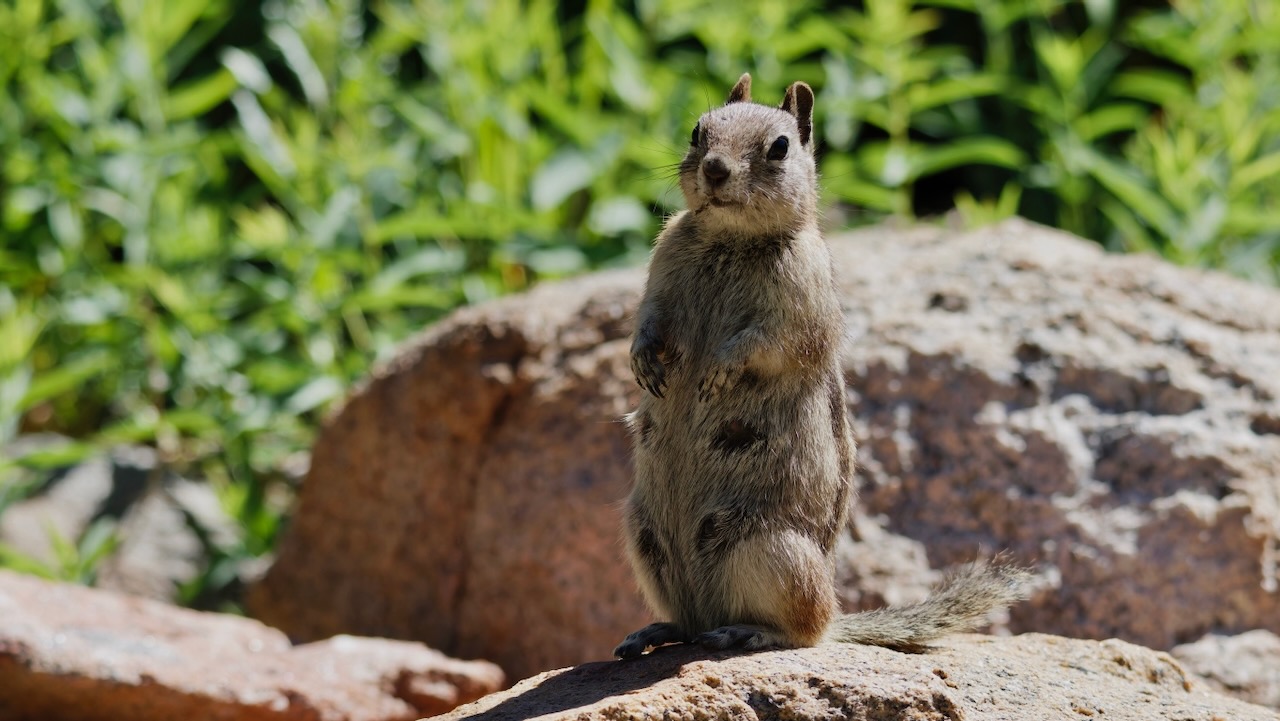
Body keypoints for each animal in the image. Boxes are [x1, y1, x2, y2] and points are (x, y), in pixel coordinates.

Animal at [611, 73, 1029, 660]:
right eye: (697, 131)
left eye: (780, 147)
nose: (714, 168)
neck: (731, 239)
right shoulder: (662, 268)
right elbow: (648, 317)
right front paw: (644, 362)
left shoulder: (803, 303)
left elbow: (775, 343)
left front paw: (720, 369)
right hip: (642, 534)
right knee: (689, 622)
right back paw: (655, 631)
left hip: (768, 546)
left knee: (805, 632)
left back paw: (748, 631)